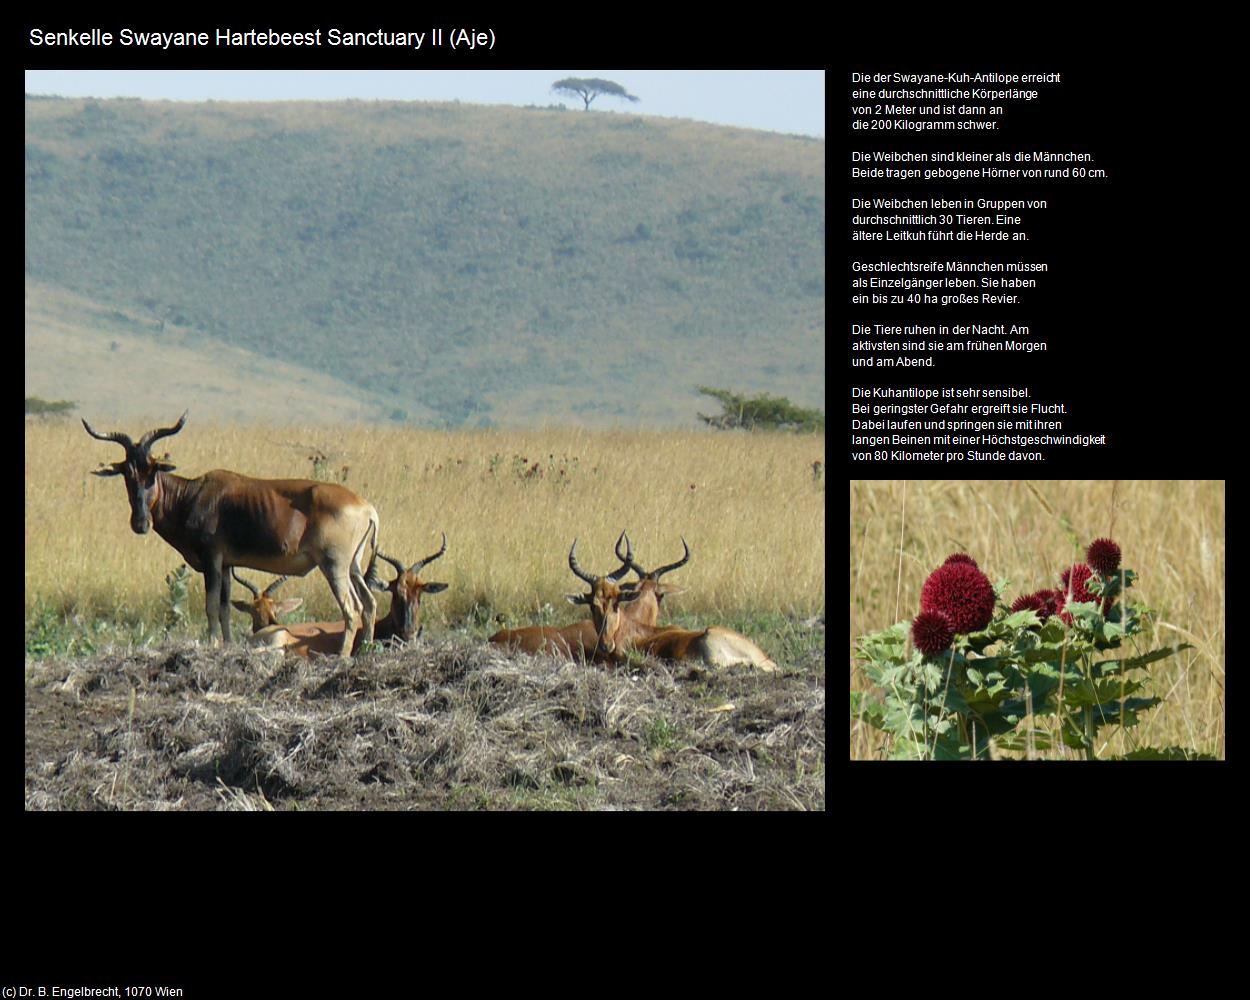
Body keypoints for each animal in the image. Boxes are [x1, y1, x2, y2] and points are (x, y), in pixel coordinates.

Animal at [83, 410, 377, 650]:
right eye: (127, 473)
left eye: (153, 469)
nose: (141, 523)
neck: (194, 494)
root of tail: (367, 507)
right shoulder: (226, 564)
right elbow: (225, 608)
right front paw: (226, 645)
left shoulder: (212, 559)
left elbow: (211, 605)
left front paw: (212, 644)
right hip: (353, 566)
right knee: (370, 603)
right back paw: (365, 650)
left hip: (334, 565)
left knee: (352, 608)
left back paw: (342, 656)